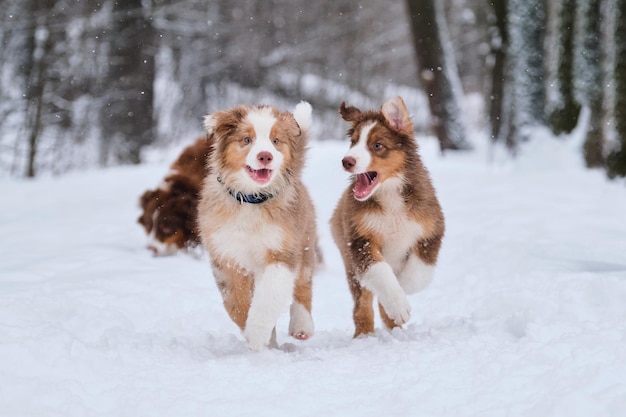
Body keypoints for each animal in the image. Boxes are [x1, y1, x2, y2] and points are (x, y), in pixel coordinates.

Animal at [199, 101, 320, 352]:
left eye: (275, 141)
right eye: (247, 139)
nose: (265, 156)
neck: (251, 200)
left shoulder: (281, 252)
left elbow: (267, 299)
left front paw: (256, 335)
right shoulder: (227, 258)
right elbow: (236, 304)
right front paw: (258, 338)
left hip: (305, 241)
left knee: (303, 284)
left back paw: (301, 326)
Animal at [326, 96, 444, 336]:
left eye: (377, 145)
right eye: (353, 142)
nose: (346, 161)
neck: (390, 195)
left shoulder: (432, 230)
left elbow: (419, 273)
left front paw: (403, 291)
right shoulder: (359, 240)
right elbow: (380, 272)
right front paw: (398, 304)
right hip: (349, 261)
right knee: (362, 303)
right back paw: (365, 335)